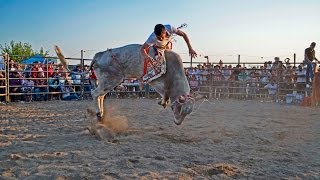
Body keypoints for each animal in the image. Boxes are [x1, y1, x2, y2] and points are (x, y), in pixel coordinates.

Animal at [55, 44, 200, 124]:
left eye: (186, 113)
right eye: (180, 109)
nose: (178, 123)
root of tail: (99, 55)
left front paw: (163, 101)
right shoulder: (156, 80)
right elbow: (164, 91)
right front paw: (163, 101)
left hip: (106, 81)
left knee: (100, 95)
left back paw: (101, 114)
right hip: (111, 80)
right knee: (95, 93)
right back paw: (98, 114)